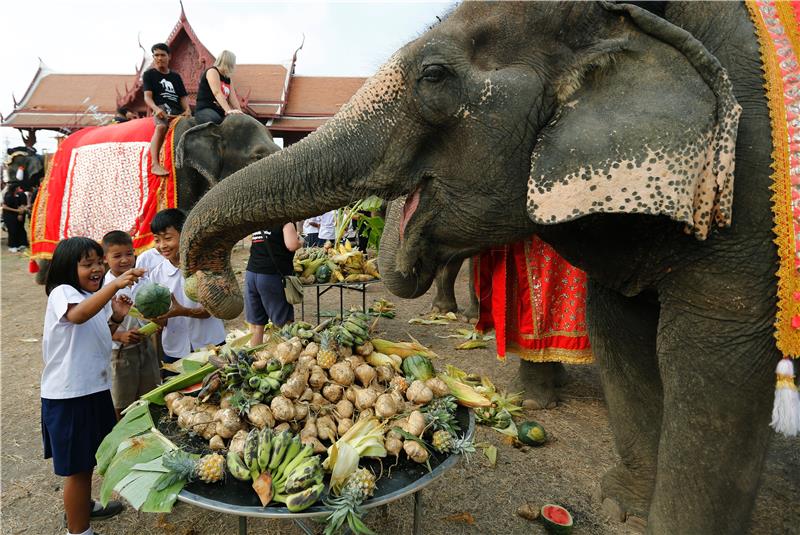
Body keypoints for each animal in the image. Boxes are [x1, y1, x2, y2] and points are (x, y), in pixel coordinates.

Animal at [180, 2, 780, 532]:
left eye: (434, 76)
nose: (212, 285)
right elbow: (617, 324)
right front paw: (623, 510)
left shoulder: (750, 186)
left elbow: (714, 368)